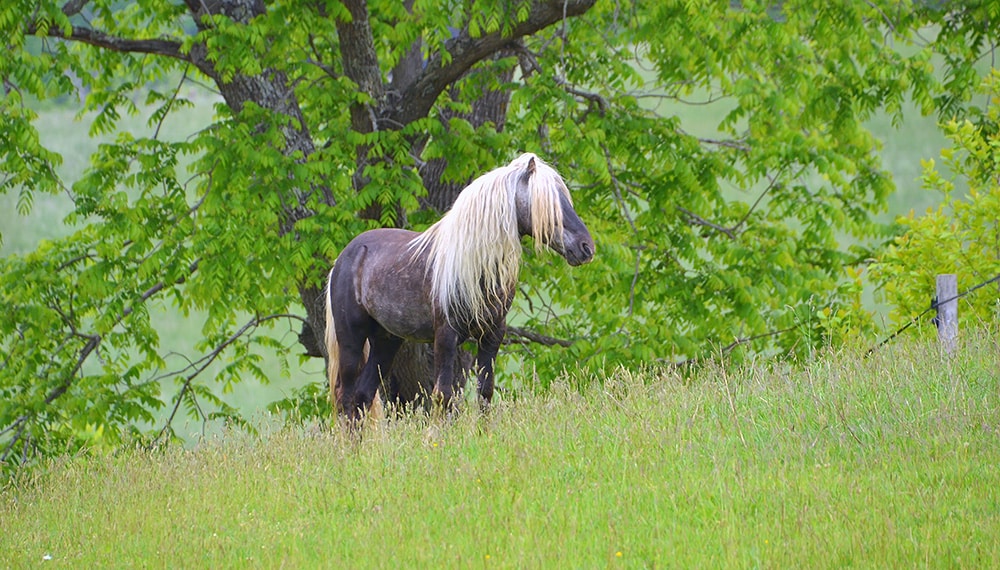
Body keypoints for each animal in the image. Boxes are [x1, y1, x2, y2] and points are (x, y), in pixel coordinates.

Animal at [323, 153, 595, 420]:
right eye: (549, 203)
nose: (586, 247)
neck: (476, 267)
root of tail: (345, 256)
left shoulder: (492, 334)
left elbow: (484, 392)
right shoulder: (446, 335)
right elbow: (443, 395)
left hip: (386, 341)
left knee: (362, 396)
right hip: (352, 340)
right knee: (345, 397)